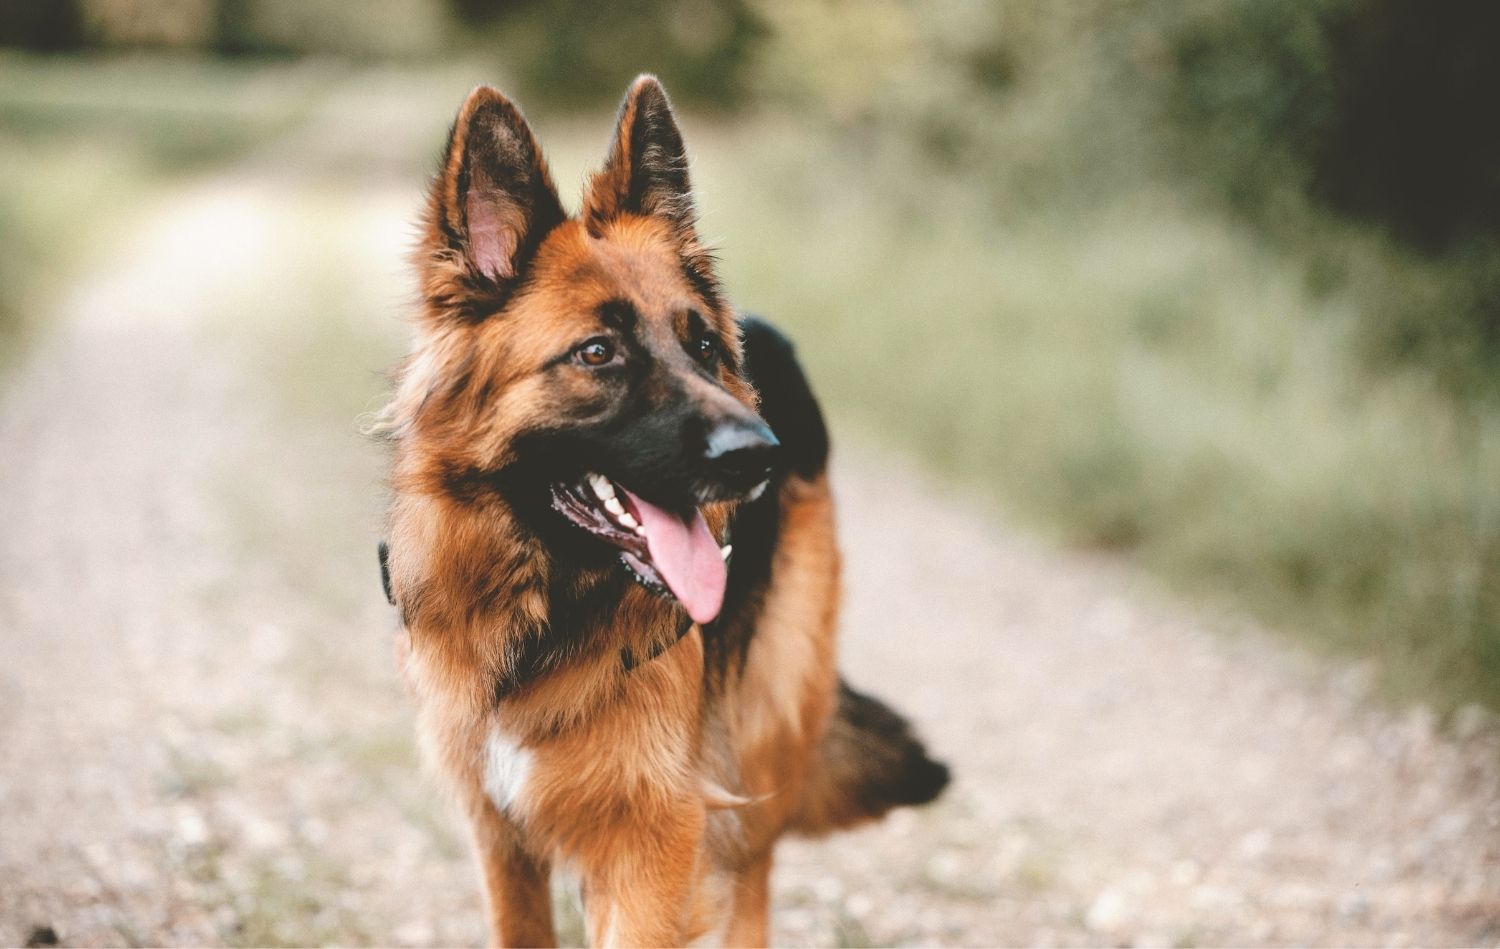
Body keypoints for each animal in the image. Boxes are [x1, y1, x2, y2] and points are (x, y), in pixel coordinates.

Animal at [381, 75, 954, 947]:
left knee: (754, 873)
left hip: (764, 723)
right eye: (597, 353)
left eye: (704, 348)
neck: (546, 617)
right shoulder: (501, 834)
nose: (760, 455)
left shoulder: (654, 839)